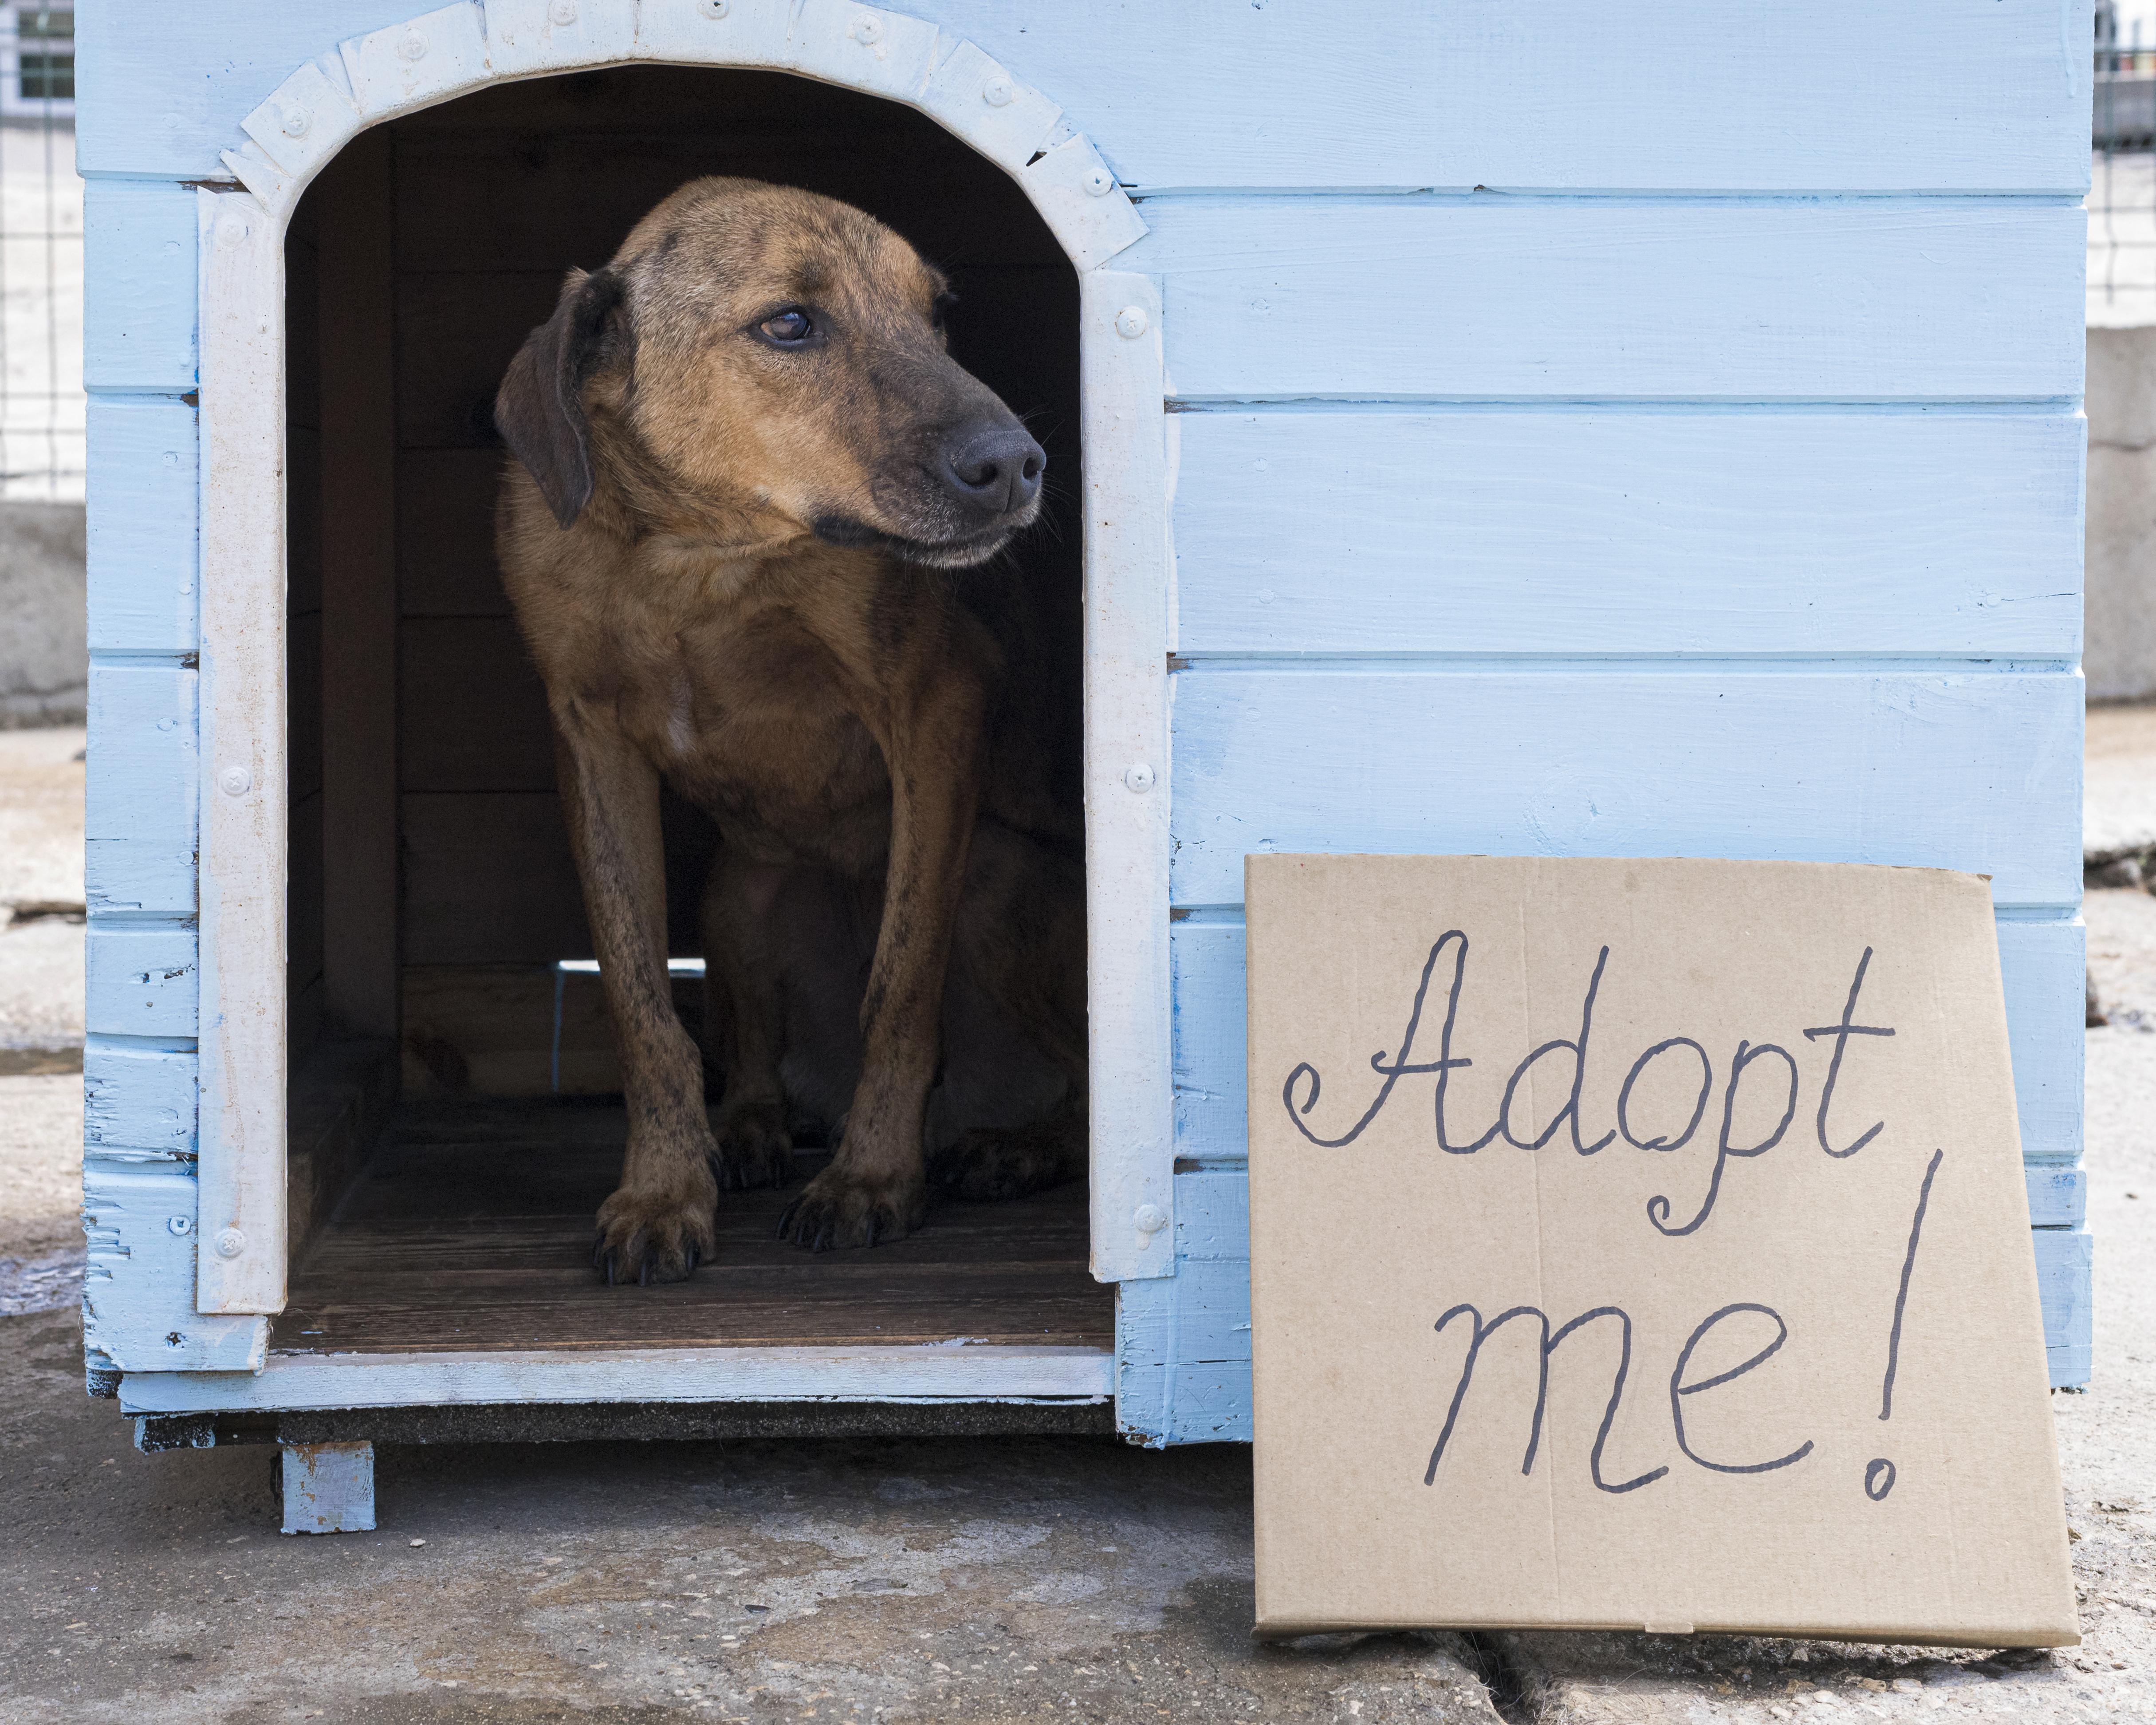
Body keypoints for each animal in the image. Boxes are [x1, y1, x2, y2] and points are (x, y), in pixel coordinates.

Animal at [496, 179, 1086, 1276]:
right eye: (790, 324)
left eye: (937, 314)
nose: (1020, 464)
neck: (699, 558)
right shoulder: (591, 748)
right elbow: (643, 1007)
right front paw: (665, 1190)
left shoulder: (938, 706)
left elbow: (900, 986)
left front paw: (873, 1179)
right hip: (738, 895)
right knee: (753, 1057)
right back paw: (751, 1129)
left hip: (994, 884)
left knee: (1074, 1076)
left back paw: (1009, 1147)